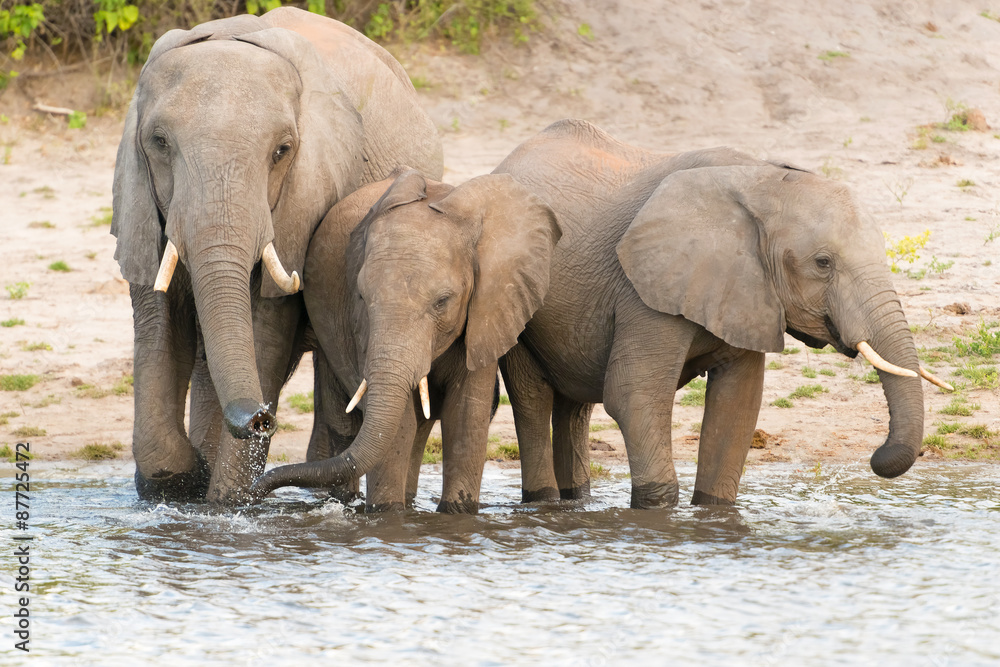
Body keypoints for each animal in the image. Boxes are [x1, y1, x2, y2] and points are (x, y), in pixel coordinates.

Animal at [111, 7, 443, 504]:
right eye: (159, 142)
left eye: (282, 151)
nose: (260, 418)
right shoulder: (141, 202)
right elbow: (159, 323)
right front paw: (186, 481)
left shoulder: (303, 201)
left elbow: (265, 329)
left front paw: (225, 504)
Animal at [248, 168, 561, 513]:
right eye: (362, 296)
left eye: (443, 301)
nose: (253, 493)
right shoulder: (360, 325)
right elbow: (399, 423)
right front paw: (387, 515)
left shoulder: (489, 310)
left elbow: (466, 414)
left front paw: (456, 515)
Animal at [493, 119, 949, 508]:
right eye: (823, 263)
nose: (876, 456)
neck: (761, 179)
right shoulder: (646, 286)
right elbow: (633, 395)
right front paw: (657, 512)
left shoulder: (746, 291)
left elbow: (738, 404)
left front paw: (714, 512)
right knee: (533, 398)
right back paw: (544, 501)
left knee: (574, 407)